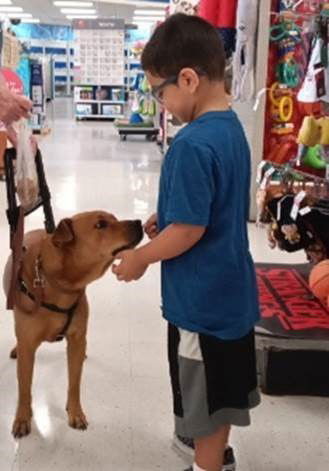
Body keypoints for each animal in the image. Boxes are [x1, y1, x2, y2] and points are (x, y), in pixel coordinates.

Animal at [3, 210, 142, 438]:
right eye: (101, 225)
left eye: (114, 218)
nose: (139, 222)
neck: (62, 286)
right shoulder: (28, 347)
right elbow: (24, 387)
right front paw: (22, 417)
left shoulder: (76, 339)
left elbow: (74, 382)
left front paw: (75, 412)